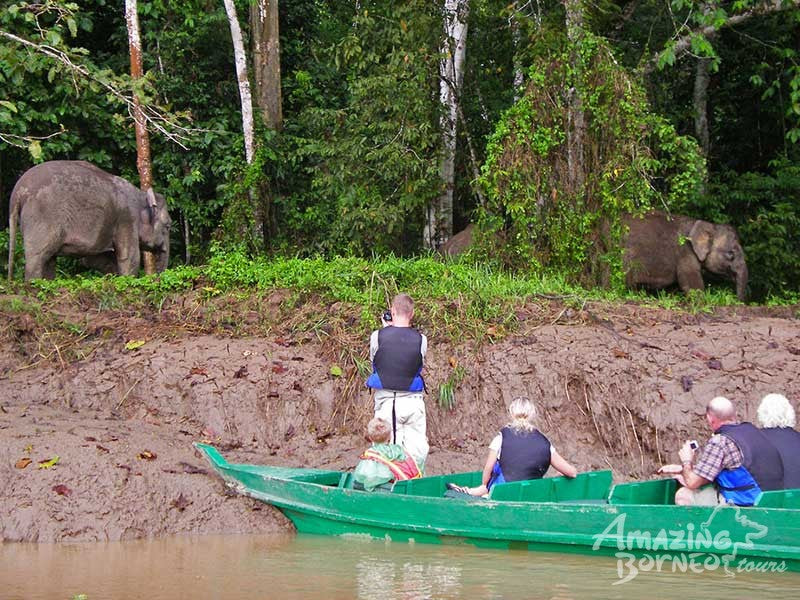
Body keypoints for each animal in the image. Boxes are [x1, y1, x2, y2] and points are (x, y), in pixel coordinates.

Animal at [7, 159, 170, 282]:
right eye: (168, 226)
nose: (156, 278)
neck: (141, 195)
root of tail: (18, 191)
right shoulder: (126, 218)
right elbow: (129, 258)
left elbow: (93, 259)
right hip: (42, 217)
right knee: (38, 257)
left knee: (48, 259)